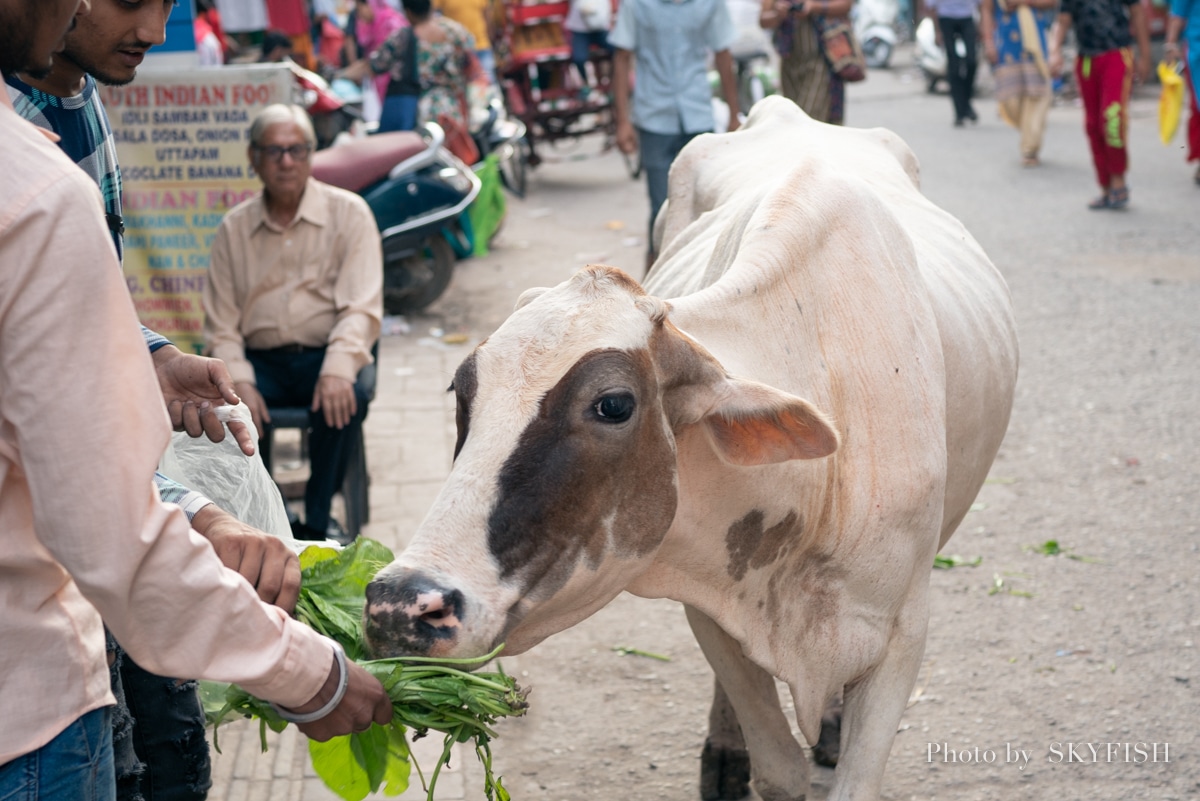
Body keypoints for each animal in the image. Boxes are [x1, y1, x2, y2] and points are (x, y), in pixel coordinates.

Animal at [360, 95, 1017, 801]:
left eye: (613, 404)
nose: (400, 606)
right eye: (463, 391)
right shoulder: (711, 604)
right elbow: (778, 770)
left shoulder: (903, 635)